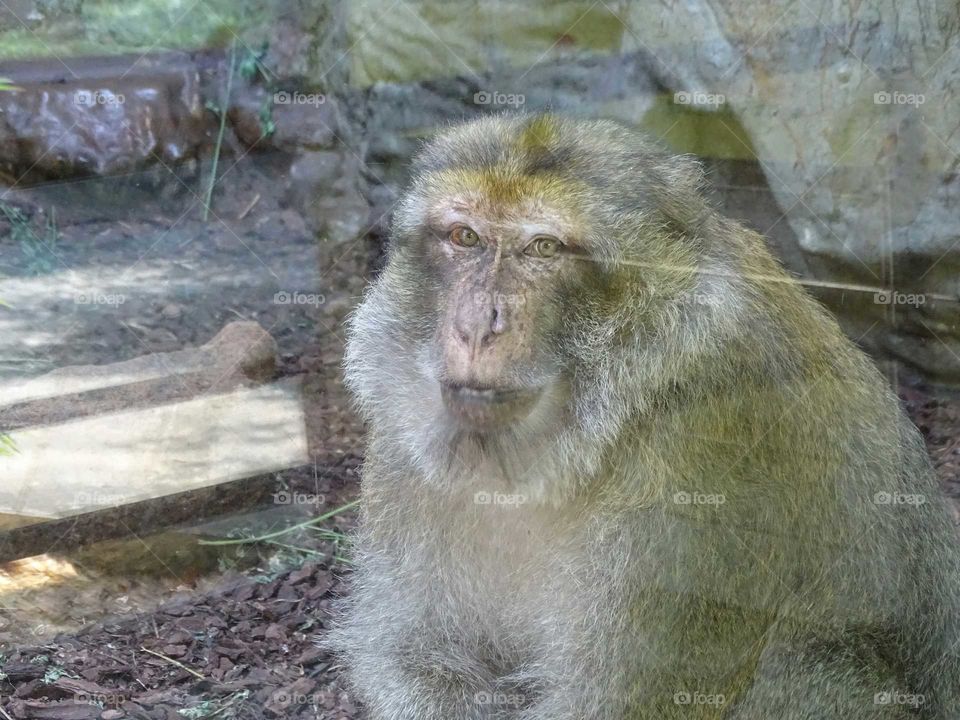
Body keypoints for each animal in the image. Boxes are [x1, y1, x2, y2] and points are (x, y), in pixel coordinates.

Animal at [325, 113, 960, 719]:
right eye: (465, 237)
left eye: (543, 249)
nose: (478, 323)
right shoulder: (403, 443)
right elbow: (412, 653)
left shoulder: (701, 453)